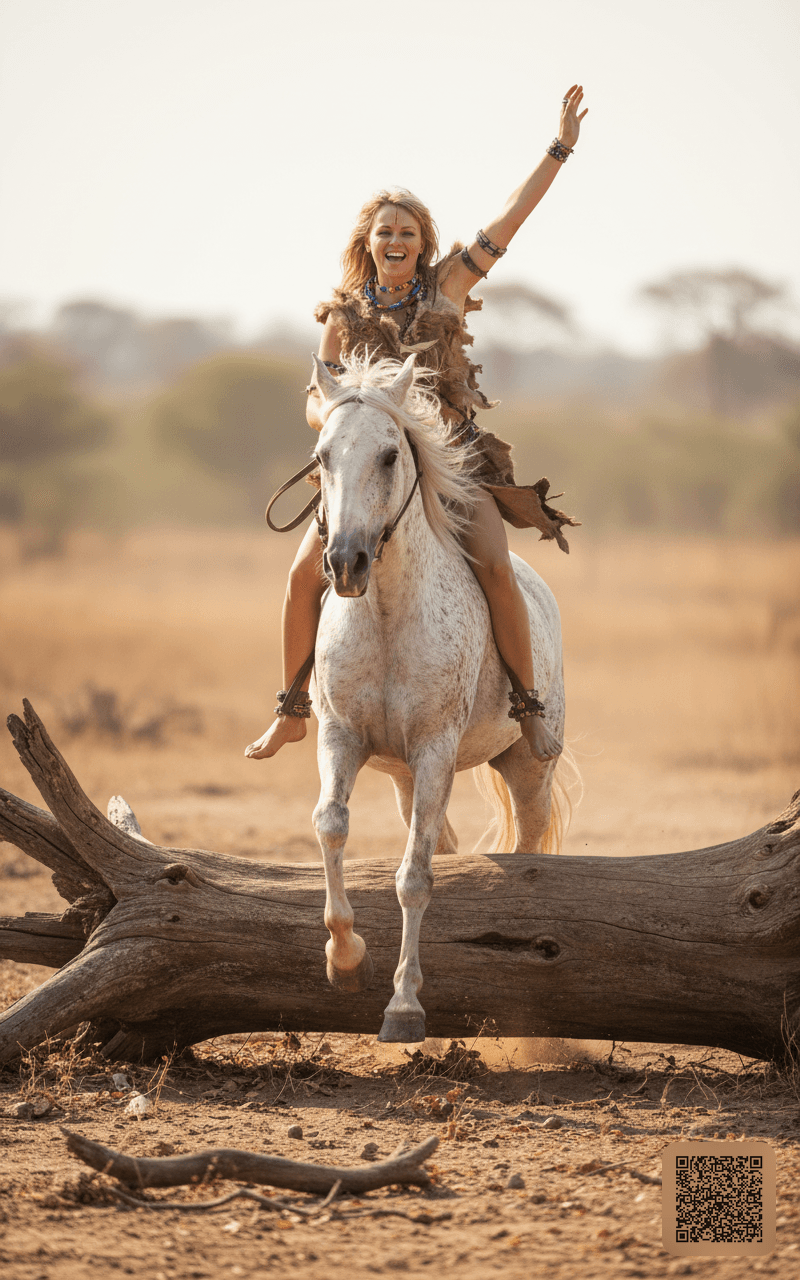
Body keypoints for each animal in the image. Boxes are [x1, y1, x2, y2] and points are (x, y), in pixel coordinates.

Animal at [309, 352, 566, 1044]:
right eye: (321, 455)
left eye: (389, 454)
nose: (346, 562)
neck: (387, 615)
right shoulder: (341, 737)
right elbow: (331, 825)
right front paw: (346, 960)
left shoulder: (434, 750)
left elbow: (413, 878)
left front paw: (404, 1007)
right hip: (403, 777)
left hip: (526, 769)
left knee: (528, 849)